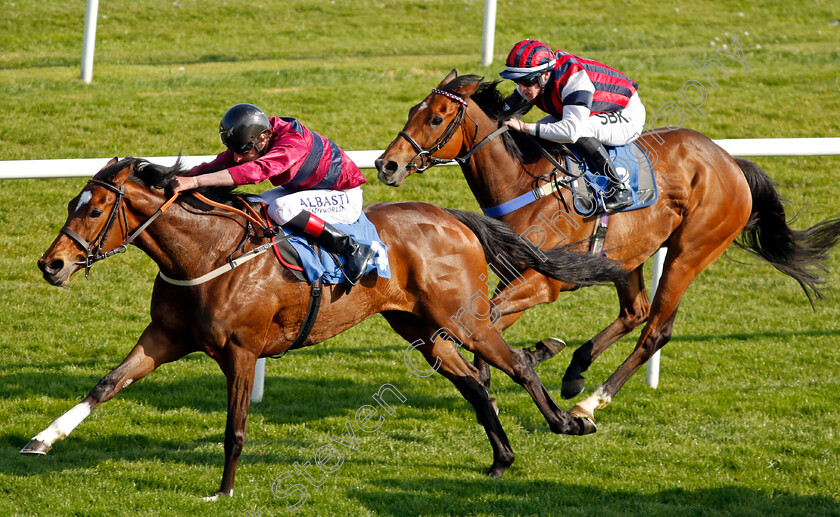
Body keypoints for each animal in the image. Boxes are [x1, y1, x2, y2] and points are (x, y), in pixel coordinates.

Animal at [21, 156, 632, 496]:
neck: (207, 253)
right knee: (477, 387)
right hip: (418, 327)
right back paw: (502, 459)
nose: (51, 265)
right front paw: (42, 440)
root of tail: (451, 216)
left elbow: (235, 429)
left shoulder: (242, 352)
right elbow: (105, 384)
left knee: (517, 365)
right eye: (72, 204)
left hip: (463, 318)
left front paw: (223, 492)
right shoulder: (164, 338)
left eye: (93, 210)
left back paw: (569, 420)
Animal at [378, 71, 840, 428]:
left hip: (689, 252)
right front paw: (494, 377)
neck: (524, 183)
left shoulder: (544, 280)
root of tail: (730, 162)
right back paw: (576, 373)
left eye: (436, 118)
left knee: (655, 329)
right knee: (634, 312)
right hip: (629, 254)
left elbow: (486, 320)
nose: (387, 165)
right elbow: (484, 320)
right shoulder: (513, 273)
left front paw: (529, 356)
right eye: (411, 111)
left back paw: (590, 400)